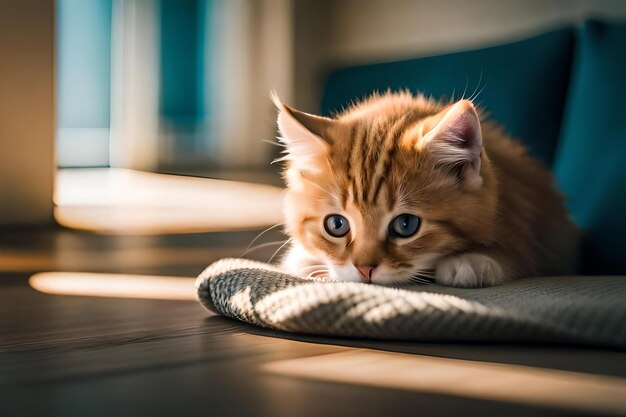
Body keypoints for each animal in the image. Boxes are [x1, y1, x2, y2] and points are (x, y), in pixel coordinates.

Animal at [272, 91, 576, 288]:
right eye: (336, 225)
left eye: (406, 225)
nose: (365, 269)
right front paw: (307, 260)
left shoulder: (526, 214)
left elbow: (521, 249)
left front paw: (473, 261)